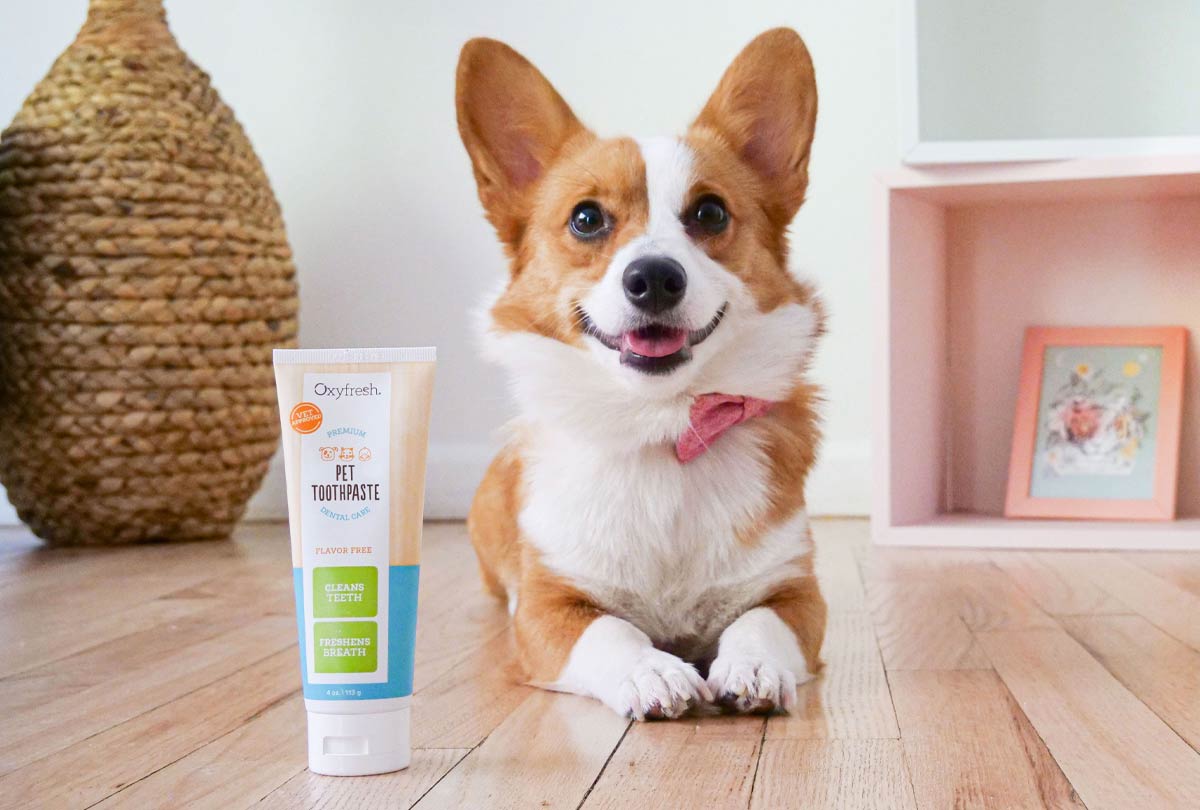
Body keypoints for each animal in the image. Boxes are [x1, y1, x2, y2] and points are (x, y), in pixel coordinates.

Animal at [451, 28, 825, 720]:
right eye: (586, 218)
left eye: (710, 214)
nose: (653, 277)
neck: (662, 424)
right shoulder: (548, 609)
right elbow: (609, 630)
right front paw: (653, 672)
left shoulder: (797, 592)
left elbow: (759, 622)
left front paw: (752, 666)